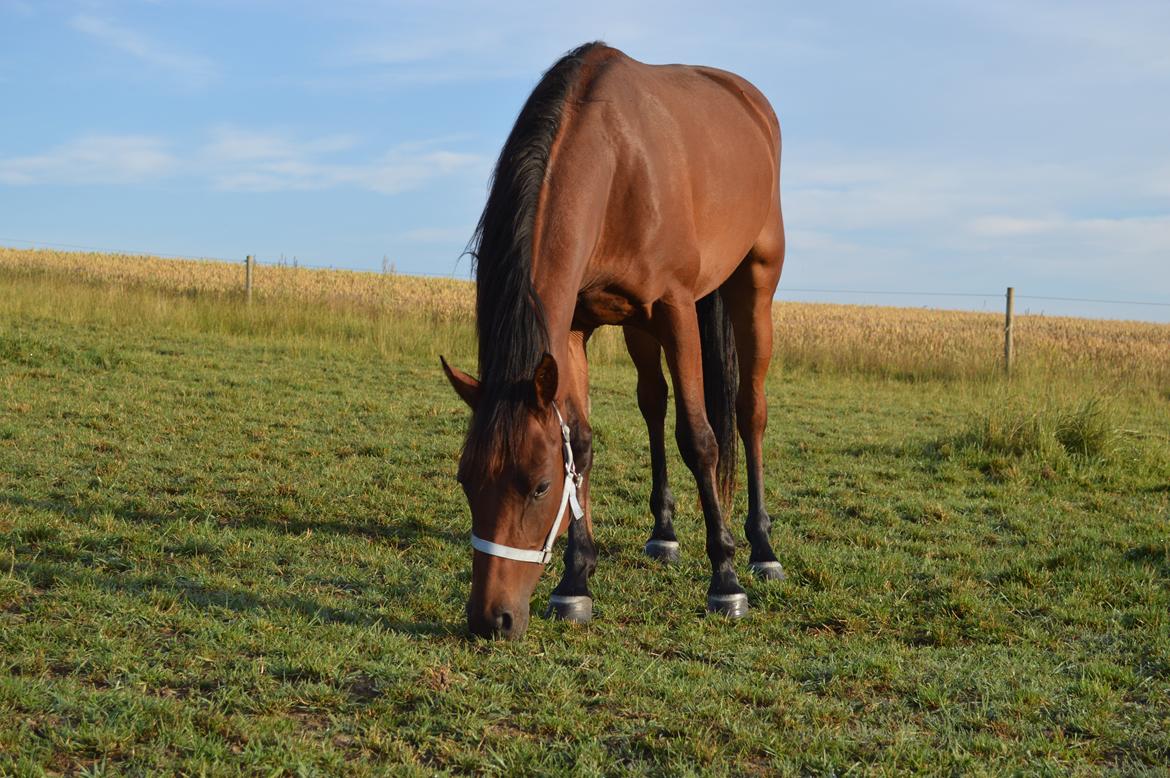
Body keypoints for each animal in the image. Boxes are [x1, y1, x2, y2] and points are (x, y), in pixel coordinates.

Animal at [439, 42, 786, 636]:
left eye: (538, 486)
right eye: (466, 480)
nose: (491, 619)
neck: (617, 161)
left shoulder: (675, 308)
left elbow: (700, 439)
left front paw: (725, 578)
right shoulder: (573, 327)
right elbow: (579, 441)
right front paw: (576, 580)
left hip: (754, 285)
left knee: (748, 411)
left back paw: (761, 549)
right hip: (638, 328)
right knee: (653, 403)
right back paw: (664, 534)